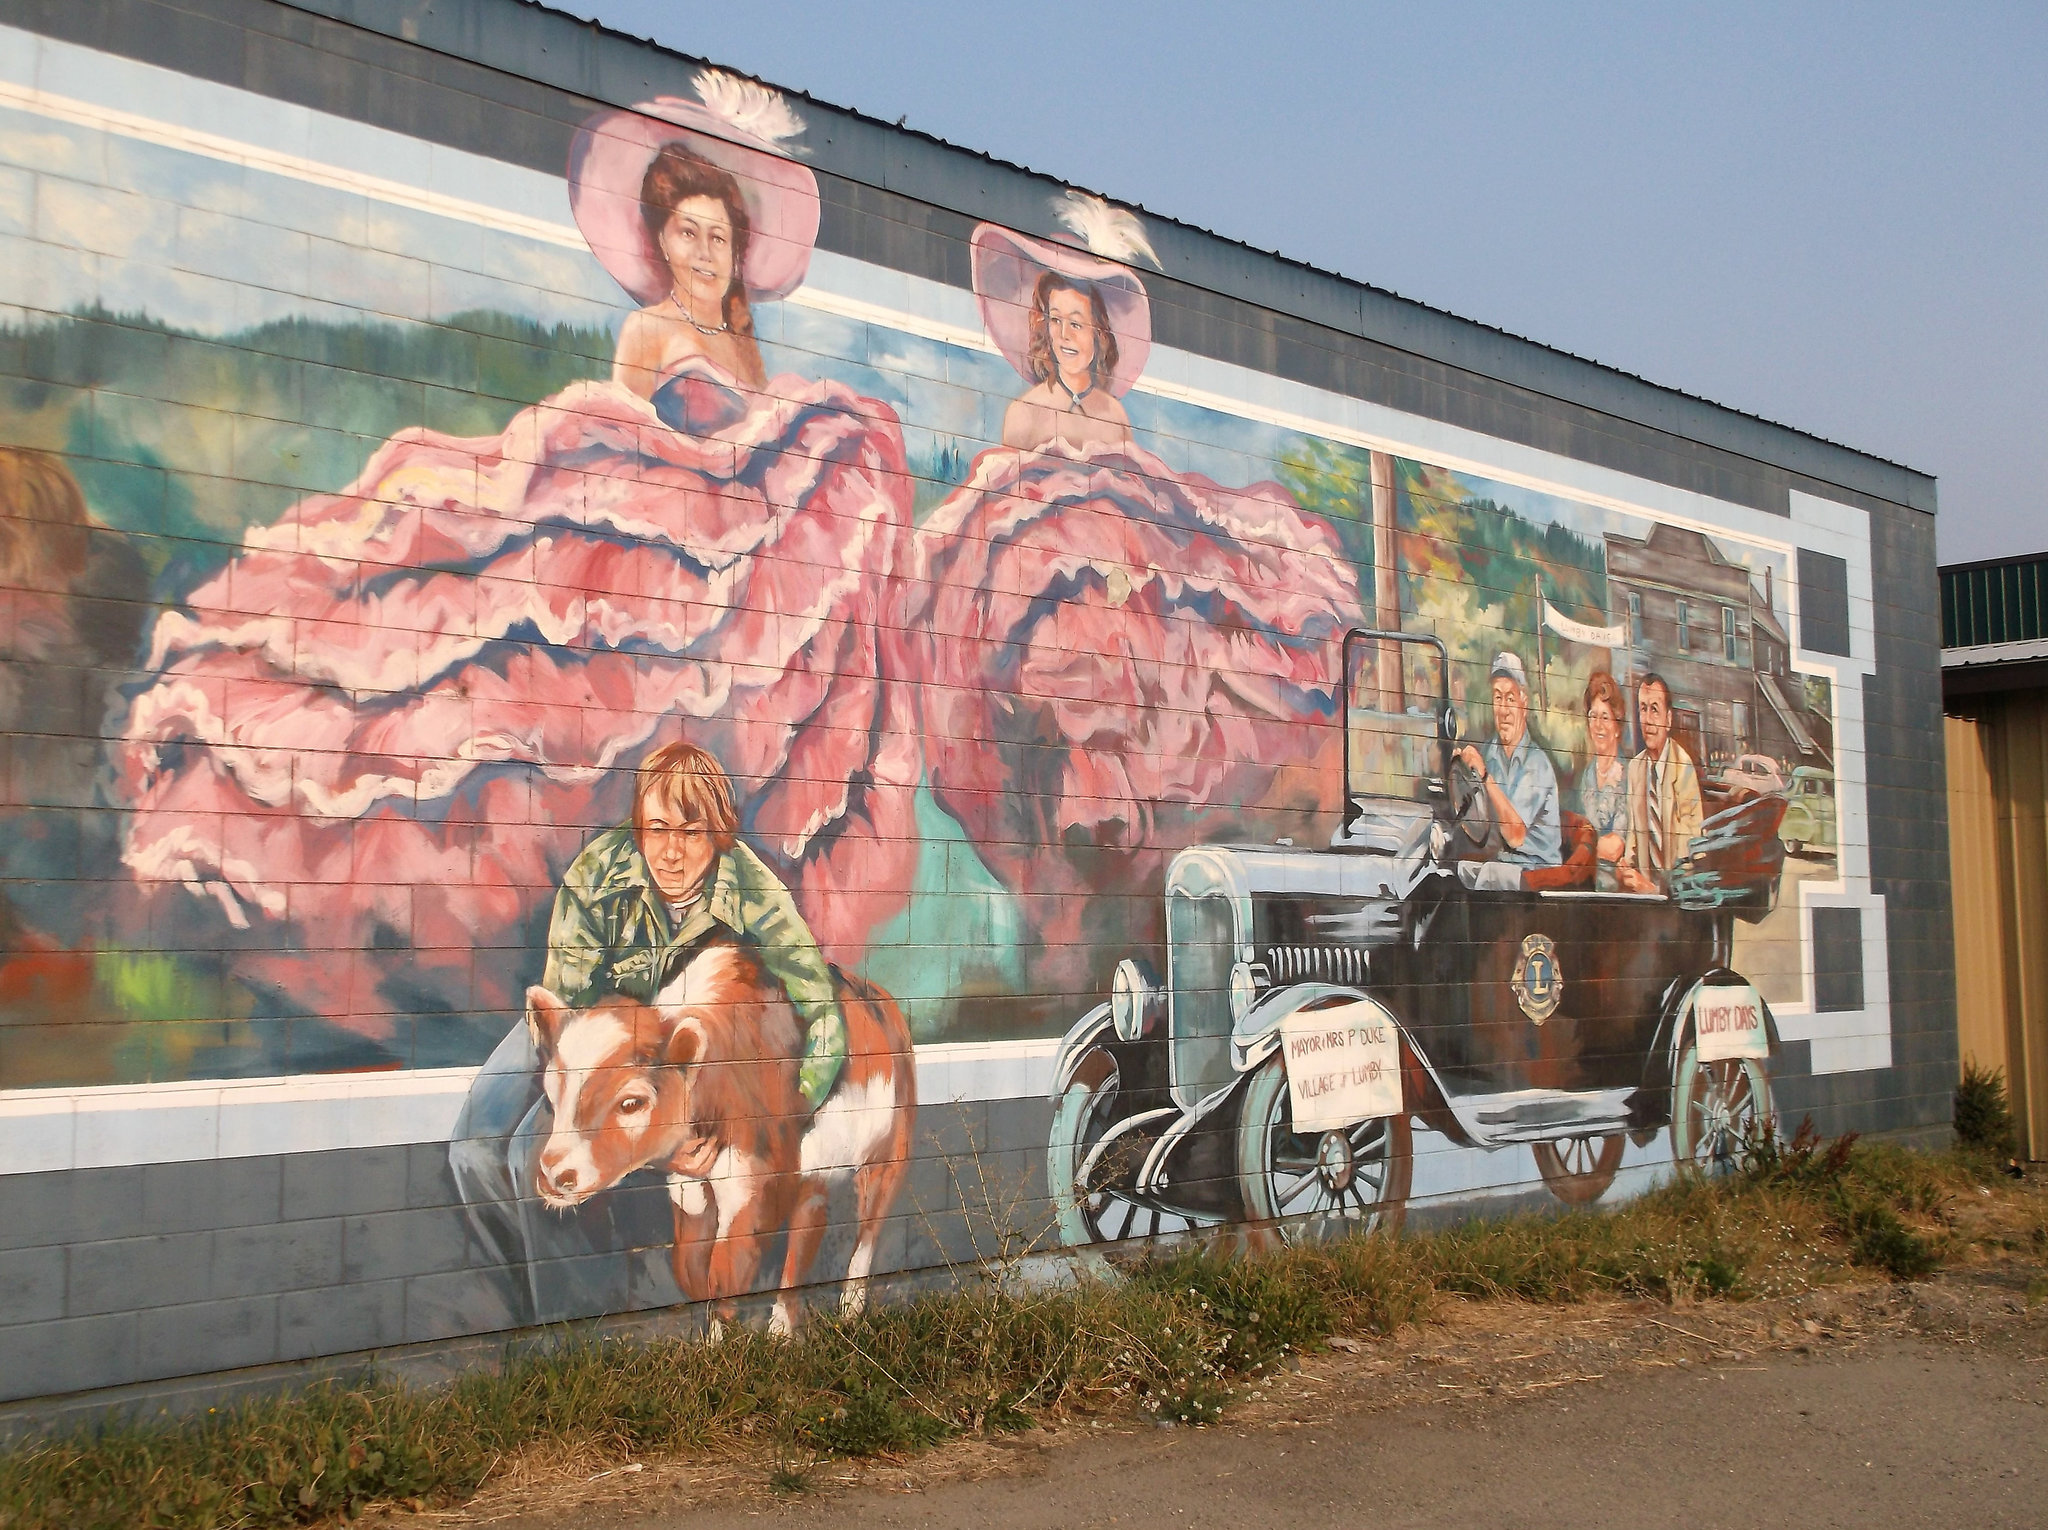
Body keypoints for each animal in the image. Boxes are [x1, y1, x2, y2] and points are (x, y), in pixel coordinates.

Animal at [528, 938, 913, 1335]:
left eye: (631, 1102)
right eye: (550, 1094)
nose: (554, 1174)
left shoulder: (753, 1186)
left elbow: (727, 1270)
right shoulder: (690, 1188)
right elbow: (694, 1269)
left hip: (890, 1153)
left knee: (868, 1229)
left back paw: (845, 1311)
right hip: (815, 1173)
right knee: (808, 1227)